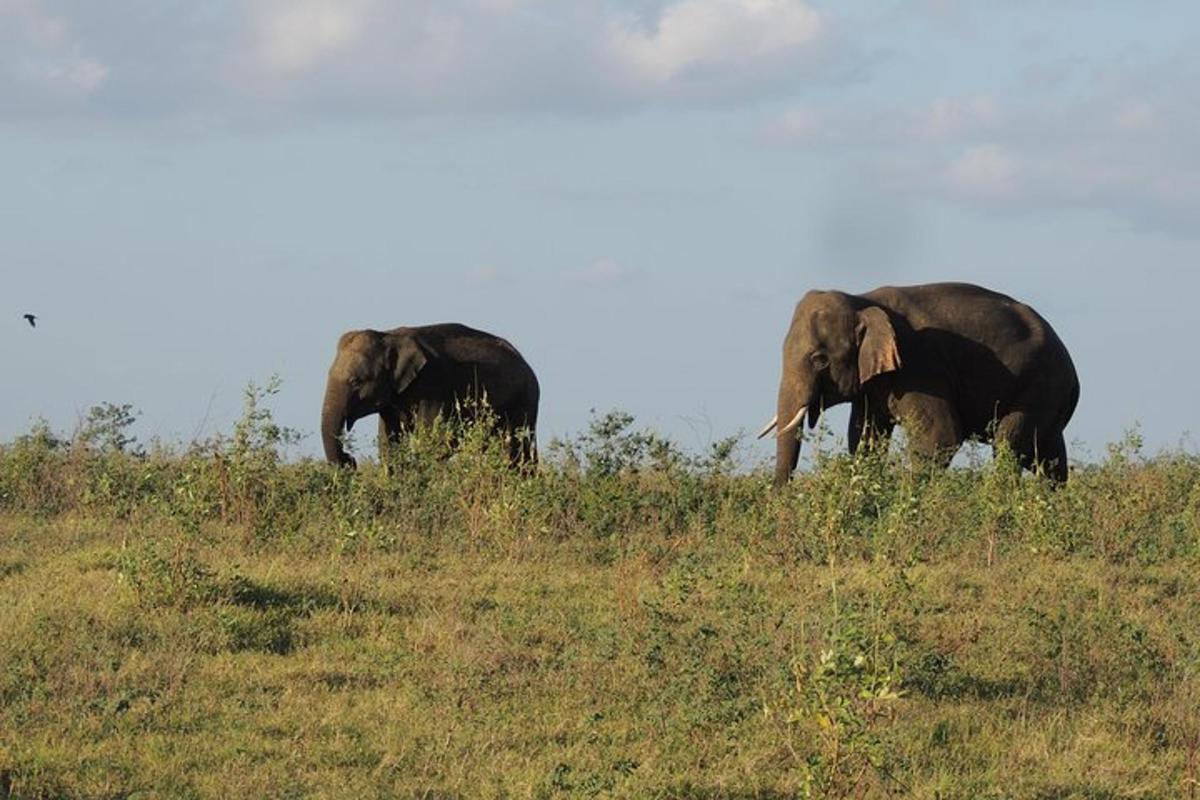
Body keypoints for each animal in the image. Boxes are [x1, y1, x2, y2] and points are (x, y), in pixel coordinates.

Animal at [321, 321, 542, 465]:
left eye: (356, 381)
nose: (349, 459)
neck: (389, 336)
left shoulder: (432, 385)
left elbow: (434, 441)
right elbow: (389, 443)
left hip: (524, 400)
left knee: (515, 448)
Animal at [763, 284, 1084, 489]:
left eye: (819, 360)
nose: (780, 497)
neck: (861, 300)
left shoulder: (921, 366)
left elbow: (941, 435)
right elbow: (865, 439)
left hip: (1041, 386)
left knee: (1009, 446)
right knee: (1046, 456)